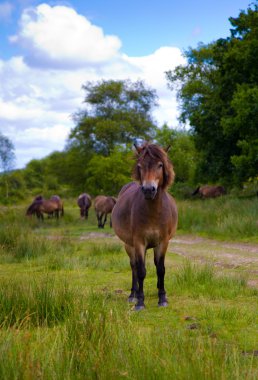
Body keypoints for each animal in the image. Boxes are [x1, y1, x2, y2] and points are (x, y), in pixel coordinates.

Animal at [112, 142, 178, 308]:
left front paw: (162, 298)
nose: (148, 190)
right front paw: (140, 302)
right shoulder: (139, 242)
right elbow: (141, 270)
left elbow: (160, 269)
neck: (153, 212)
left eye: (160, 165)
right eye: (140, 166)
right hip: (129, 245)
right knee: (134, 266)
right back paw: (133, 295)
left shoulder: (163, 242)